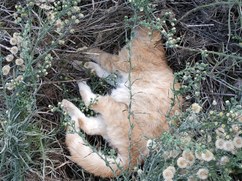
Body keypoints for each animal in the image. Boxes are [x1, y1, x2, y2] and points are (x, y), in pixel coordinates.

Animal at [61, 26, 181, 177]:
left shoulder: (116, 62)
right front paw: (88, 65)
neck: (153, 44)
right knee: (86, 125)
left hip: (115, 108)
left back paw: (80, 88)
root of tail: (134, 159)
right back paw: (68, 107)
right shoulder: (118, 75)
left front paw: (85, 52)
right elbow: (104, 73)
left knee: (91, 104)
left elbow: (99, 54)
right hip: (108, 121)